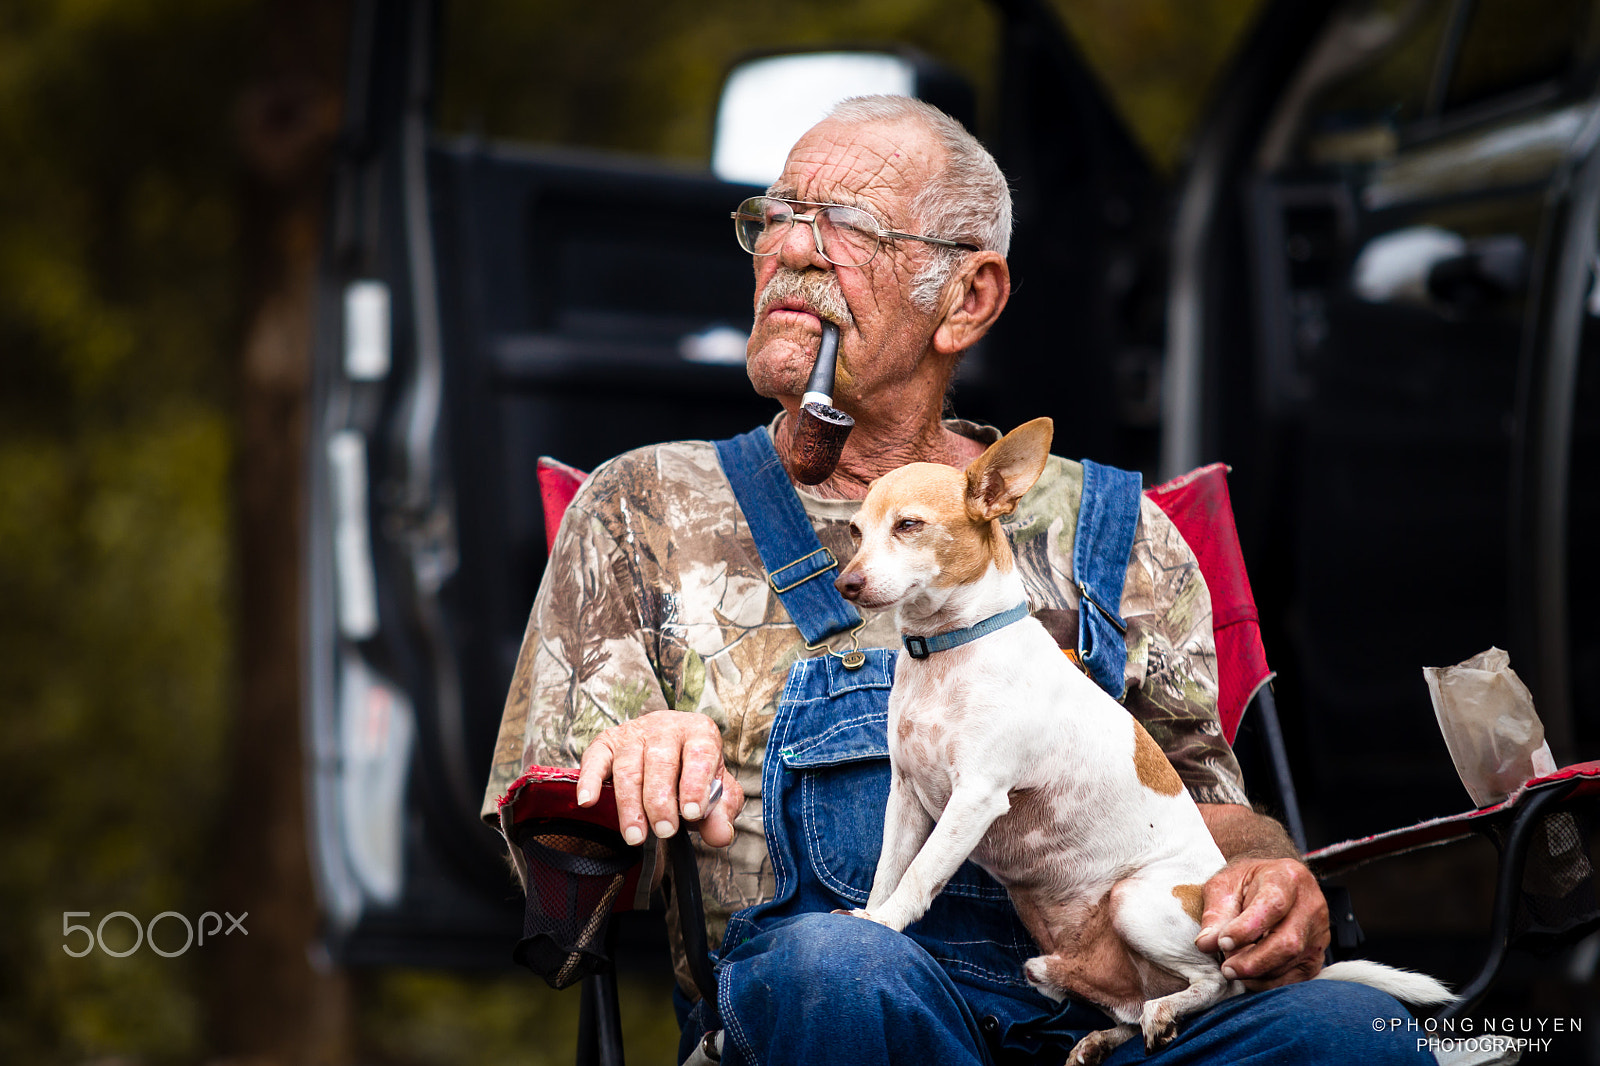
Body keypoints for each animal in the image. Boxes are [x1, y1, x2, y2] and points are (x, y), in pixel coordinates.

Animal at [838, 416, 1452, 1062]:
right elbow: (889, 868)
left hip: (1137, 903)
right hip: (1078, 961)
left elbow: (921, 873)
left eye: (909, 526)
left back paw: (1166, 1012)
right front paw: (869, 914)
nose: (846, 582)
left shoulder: (976, 796)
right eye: (854, 531)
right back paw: (1102, 1032)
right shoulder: (907, 795)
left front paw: (886, 923)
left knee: (1216, 981)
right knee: (1131, 1002)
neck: (949, 650)